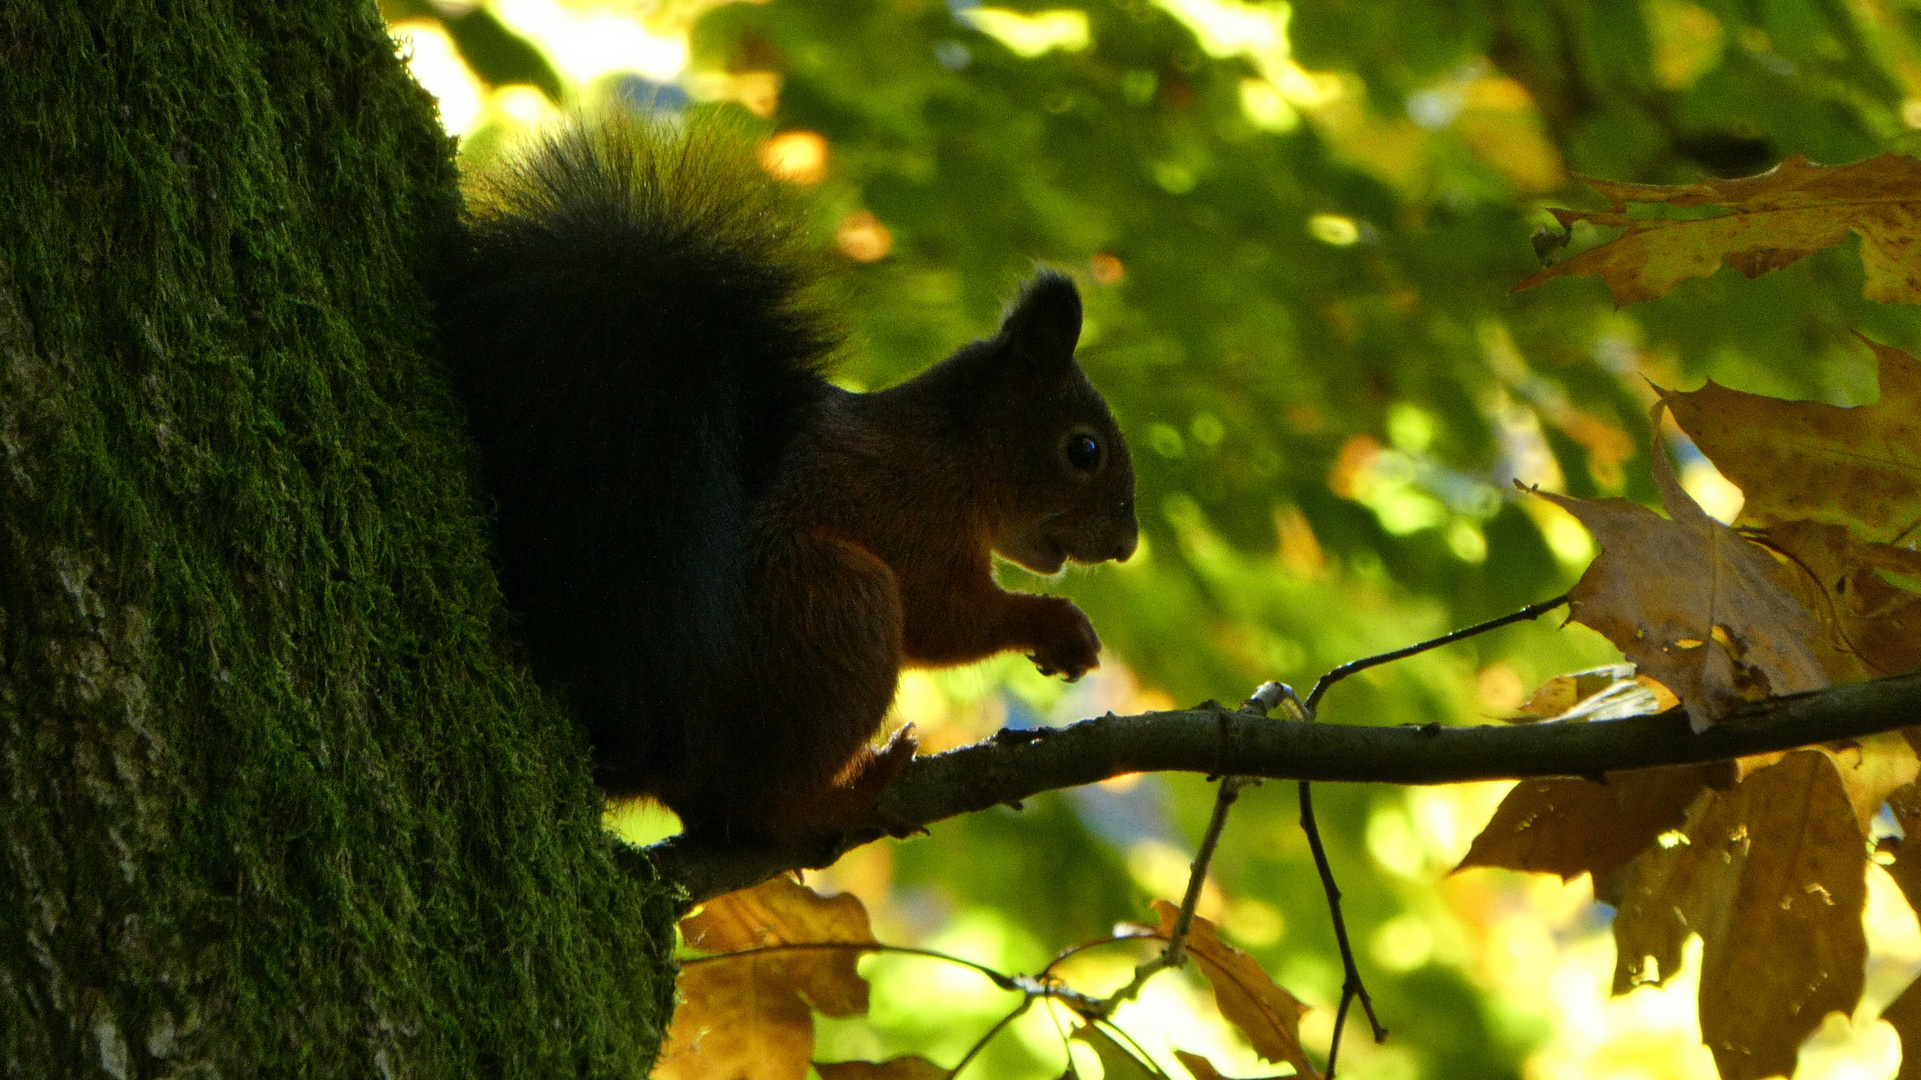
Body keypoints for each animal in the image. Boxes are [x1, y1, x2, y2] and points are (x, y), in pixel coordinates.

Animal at [428, 115, 1129, 841]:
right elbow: (945, 619)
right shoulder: (910, 514)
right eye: (1084, 450)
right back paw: (846, 794)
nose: (1125, 542)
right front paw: (1052, 623)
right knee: (751, 807)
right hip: (833, 604)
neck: (954, 453)